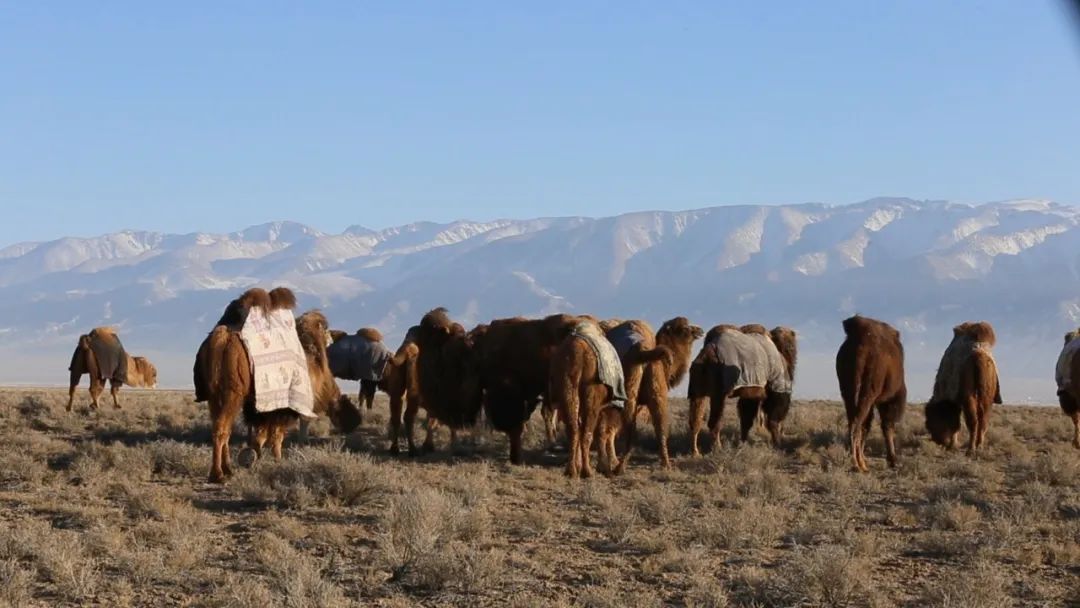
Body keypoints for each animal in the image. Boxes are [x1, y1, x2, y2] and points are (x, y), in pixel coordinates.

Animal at [195, 287, 358, 483]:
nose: (332, 337)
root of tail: (220, 339)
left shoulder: (265, 408)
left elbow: (263, 435)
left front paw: (253, 457)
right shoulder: (284, 407)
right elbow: (276, 436)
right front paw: (276, 459)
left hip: (214, 395)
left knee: (222, 428)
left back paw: (227, 470)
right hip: (232, 394)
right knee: (221, 429)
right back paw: (218, 474)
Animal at [838, 317, 907, 473]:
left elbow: (868, 426)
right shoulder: (886, 401)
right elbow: (887, 426)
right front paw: (893, 461)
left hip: (849, 393)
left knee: (855, 423)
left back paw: (860, 463)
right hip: (867, 394)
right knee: (857, 425)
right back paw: (857, 464)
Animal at [924, 321, 997, 453]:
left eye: (930, 421)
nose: (937, 440)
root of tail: (979, 355)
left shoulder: (954, 400)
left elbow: (955, 424)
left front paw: (952, 445)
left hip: (968, 396)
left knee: (973, 421)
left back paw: (970, 449)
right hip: (987, 394)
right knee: (983, 419)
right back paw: (979, 446)